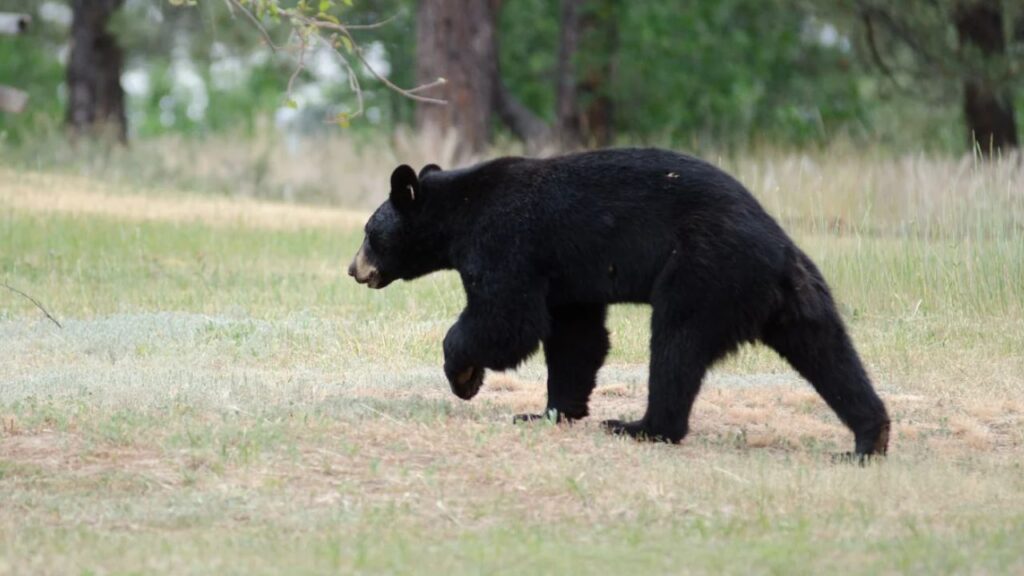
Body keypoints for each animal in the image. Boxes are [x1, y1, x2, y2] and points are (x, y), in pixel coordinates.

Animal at [348, 148, 890, 457]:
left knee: (676, 345)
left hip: (704, 272)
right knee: (829, 353)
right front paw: (548, 412)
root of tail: (777, 250)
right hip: (796, 295)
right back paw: (869, 437)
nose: (354, 269)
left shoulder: (507, 241)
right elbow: (576, 336)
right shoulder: (566, 275)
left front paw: (463, 374)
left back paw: (641, 426)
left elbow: (508, 317)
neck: (459, 211)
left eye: (369, 233)